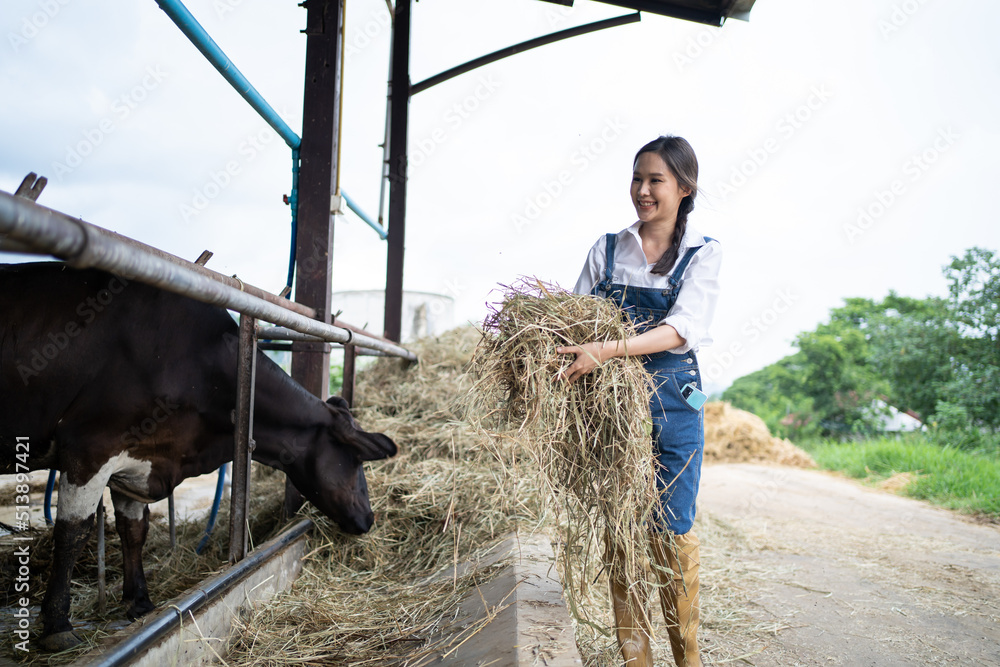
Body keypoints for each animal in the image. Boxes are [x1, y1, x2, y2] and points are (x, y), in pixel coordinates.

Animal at [0, 262, 398, 652]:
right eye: (357, 460)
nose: (369, 518)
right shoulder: (90, 447)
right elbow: (72, 533)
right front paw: (57, 625)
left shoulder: (137, 459)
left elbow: (134, 529)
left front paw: (139, 602)